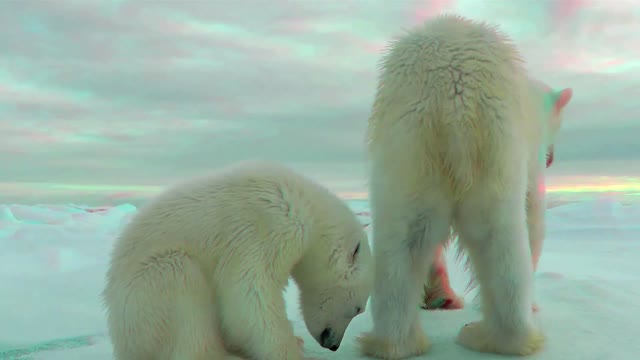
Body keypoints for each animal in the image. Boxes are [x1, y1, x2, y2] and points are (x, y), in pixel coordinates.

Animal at [104, 162, 376, 358]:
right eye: (358, 308)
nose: (333, 344)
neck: (307, 208)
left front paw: (294, 342)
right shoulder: (267, 228)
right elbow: (248, 293)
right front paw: (288, 349)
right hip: (144, 295)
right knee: (180, 278)